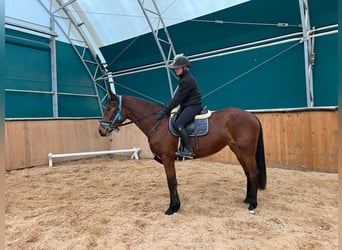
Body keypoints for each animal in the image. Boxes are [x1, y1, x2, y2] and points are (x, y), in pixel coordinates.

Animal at [97, 91, 266, 216]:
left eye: (109, 109)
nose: (101, 131)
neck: (158, 123)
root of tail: (252, 115)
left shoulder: (167, 158)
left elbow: (171, 181)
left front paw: (172, 208)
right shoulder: (169, 159)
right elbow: (174, 181)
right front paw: (176, 206)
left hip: (247, 152)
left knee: (253, 173)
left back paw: (252, 205)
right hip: (238, 150)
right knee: (247, 173)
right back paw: (247, 198)